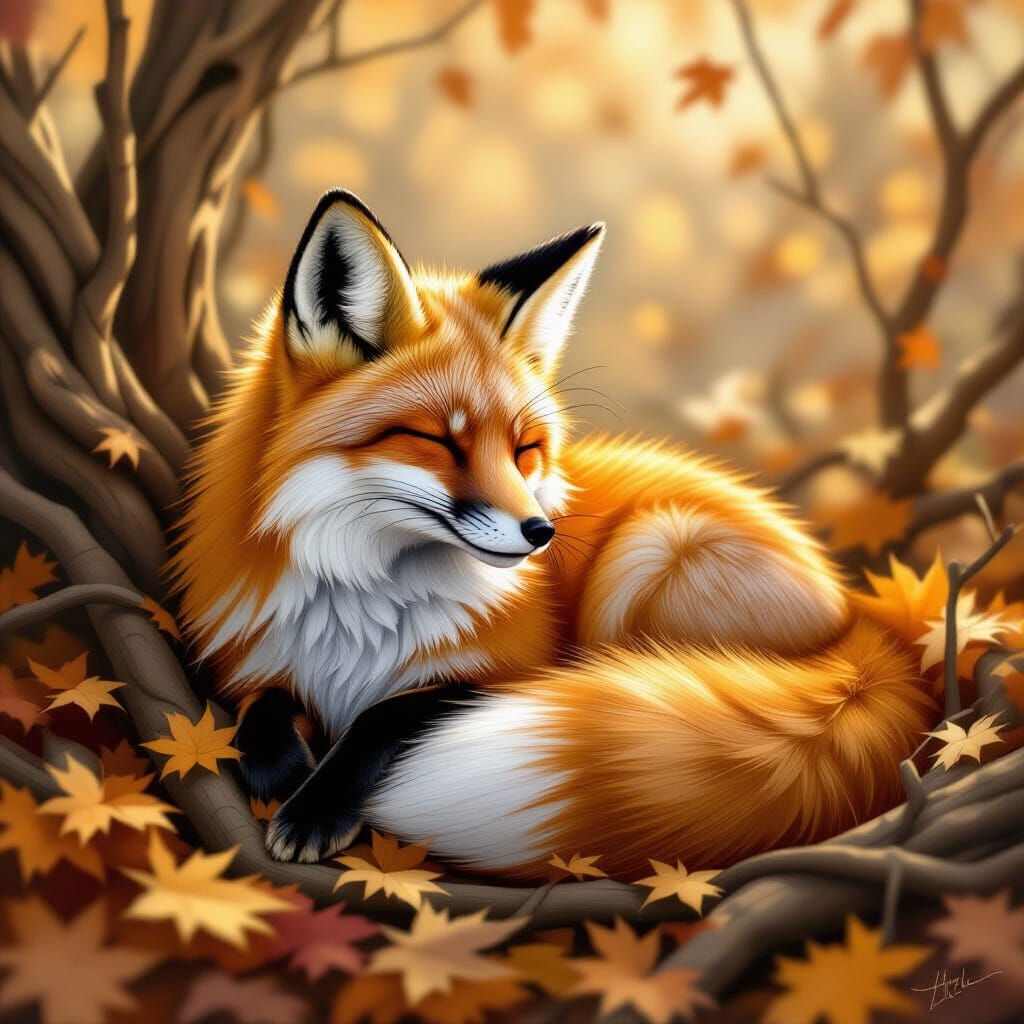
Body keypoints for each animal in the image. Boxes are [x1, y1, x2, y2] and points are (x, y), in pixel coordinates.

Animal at [173, 189, 938, 880]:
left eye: (524, 450)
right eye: (437, 441)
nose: (541, 533)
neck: (362, 609)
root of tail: (857, 622)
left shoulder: (510, 673)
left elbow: (386, 716)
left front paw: (317, 805)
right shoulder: (254, 658)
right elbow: (261, 710)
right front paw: (283, 774)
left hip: (650, 554)